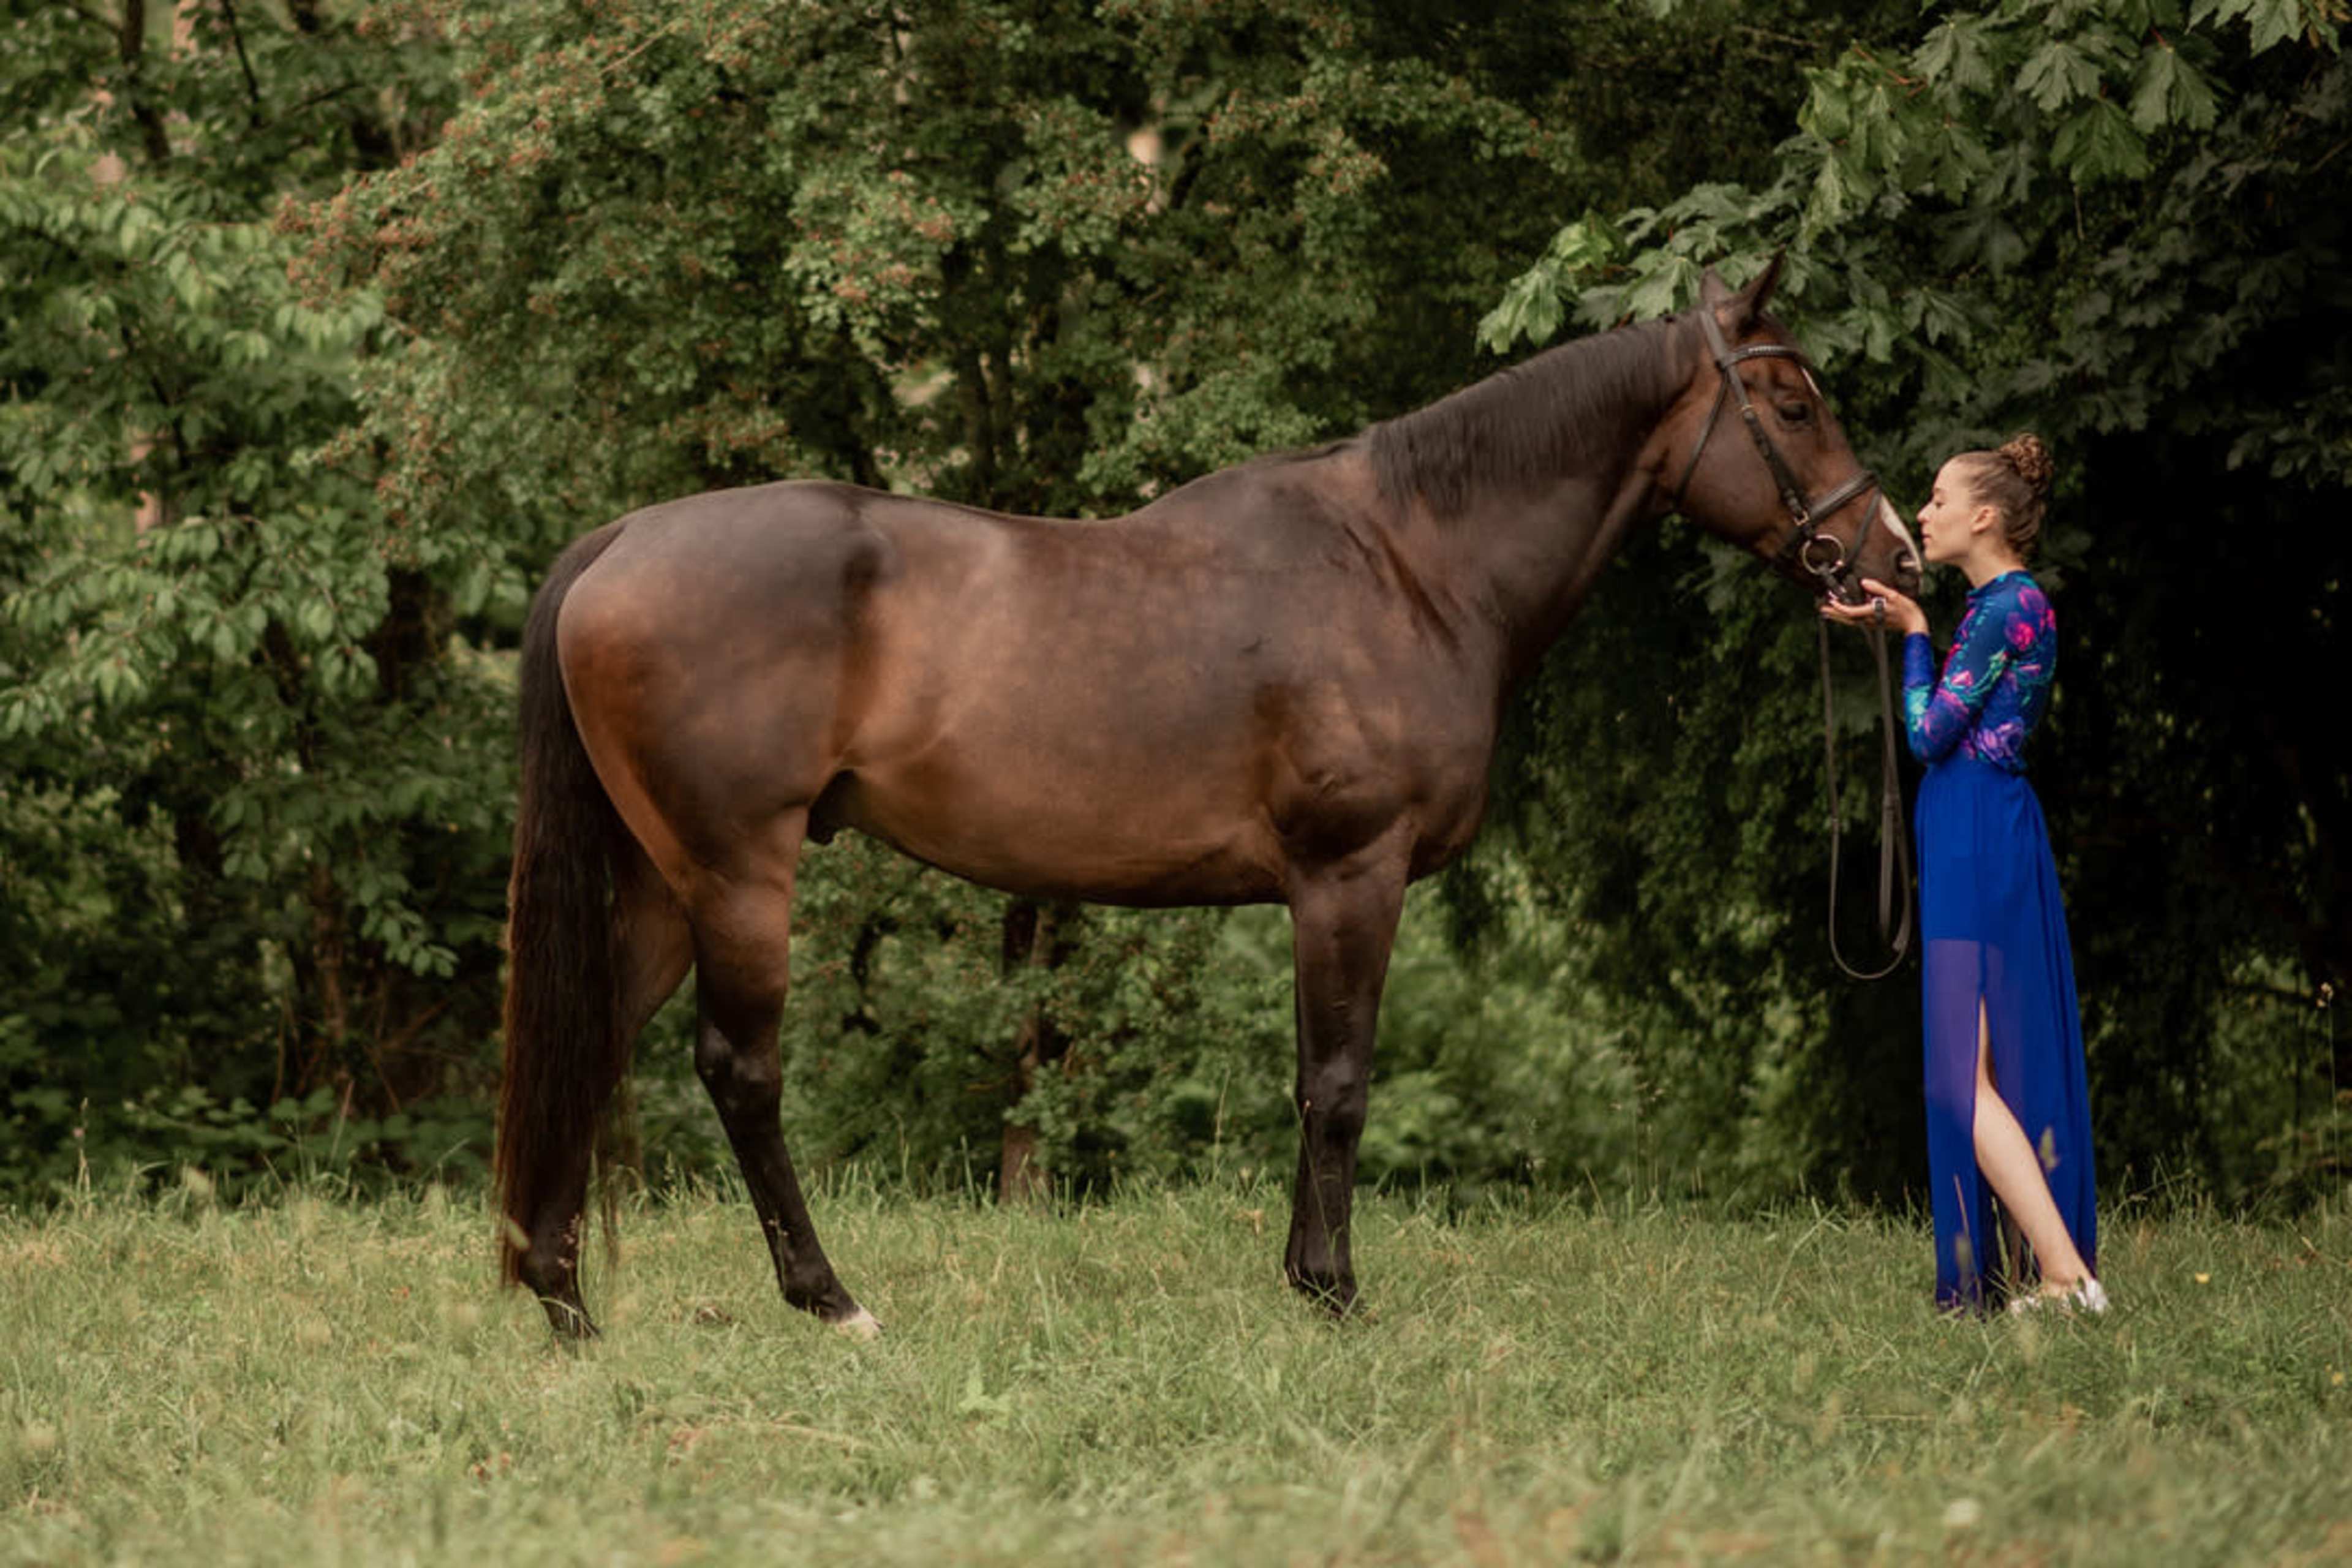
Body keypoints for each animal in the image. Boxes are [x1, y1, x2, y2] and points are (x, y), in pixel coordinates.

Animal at [495, 256, 1922, 1337]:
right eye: (1790, 403)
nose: (1892, 557)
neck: (1412, 563)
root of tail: (620, 543)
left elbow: (1311, 1076)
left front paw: (1303, 1274)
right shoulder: (1352, 873)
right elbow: (1340, 1081)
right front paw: (1334, 1291)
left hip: (664, 886)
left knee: (590, 1041)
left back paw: (563, 1301)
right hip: (739, 875)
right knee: (739, 1071)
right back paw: (828, 1300)